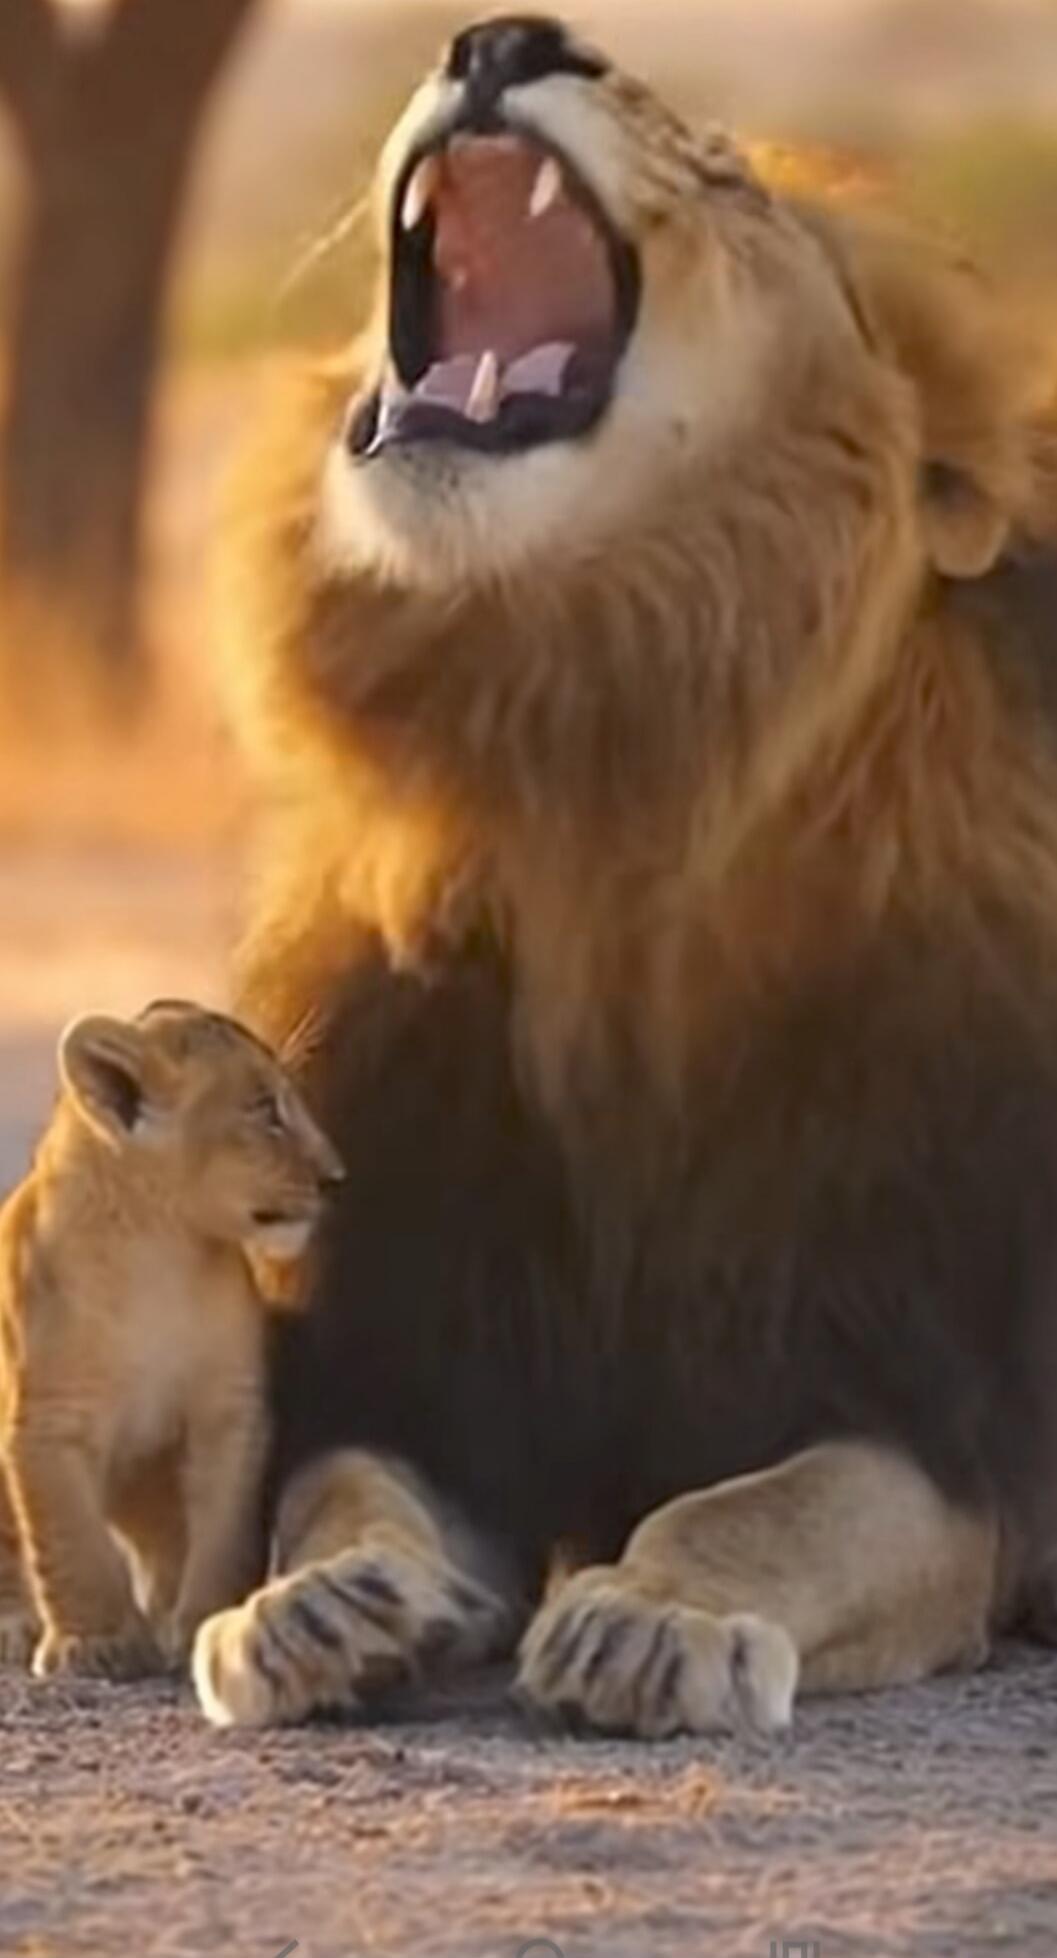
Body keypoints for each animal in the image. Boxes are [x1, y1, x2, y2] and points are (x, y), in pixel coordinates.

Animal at [0, 1000, 342, 1679]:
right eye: (264, 1108)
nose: (335, 1177)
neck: (158, 1247)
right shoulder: (48, 1420)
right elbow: (70, 1541)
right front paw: (94, 1642)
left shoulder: (229, 1410)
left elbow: (223, 1530)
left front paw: (201, 1623)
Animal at [193, 14, 1057, 1734]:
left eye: (722, 175)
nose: (505, 36)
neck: (593, 776)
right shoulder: (423, 1332)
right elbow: (346, 1482)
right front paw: (320, 1605)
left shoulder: (938, 1395)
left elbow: (775, 1503)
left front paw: (653, 1617)